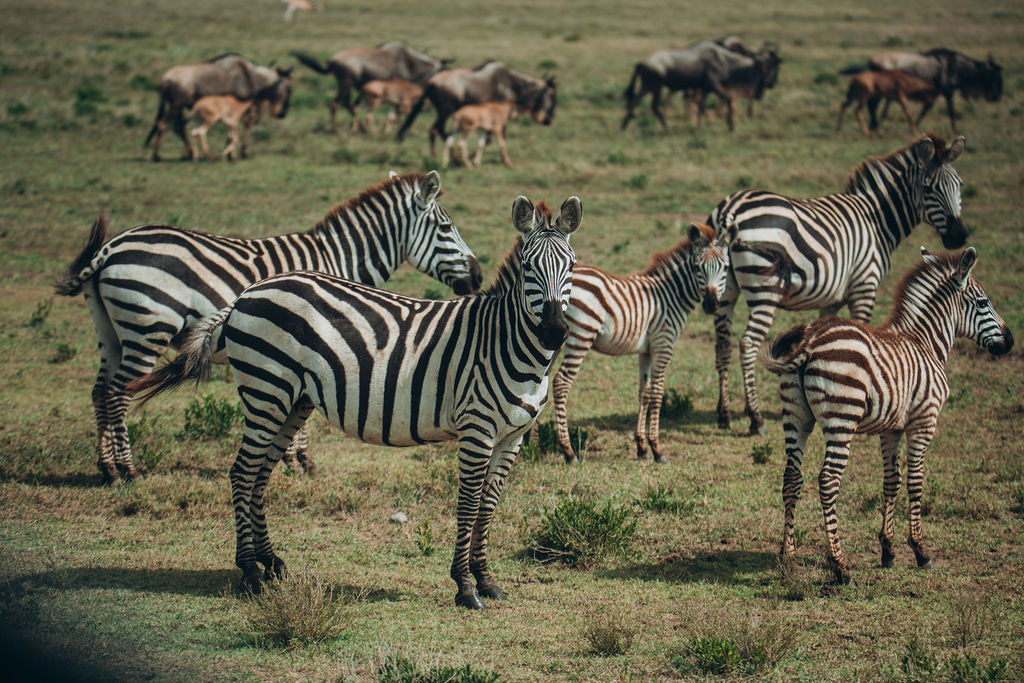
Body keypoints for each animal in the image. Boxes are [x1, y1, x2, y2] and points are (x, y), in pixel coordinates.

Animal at [55, 171, 482, 484]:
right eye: (446, 228)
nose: (478, 276)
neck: (337, 258)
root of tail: (110, 248)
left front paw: (294, 459)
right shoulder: (314, 343)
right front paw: (300, 462)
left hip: (111, 331)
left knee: (100, 391)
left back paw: (106, 468)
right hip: (147, 327)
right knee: (119, 393)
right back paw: (127, 470)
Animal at [127, 195, 582, 609]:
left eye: (572, 268)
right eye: (528, 269)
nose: (554, 332)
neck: (508, 344)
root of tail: (247, 293)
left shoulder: (513, 436)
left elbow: (488, 507)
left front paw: (487, 581)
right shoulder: (477, 429)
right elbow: (469, 504)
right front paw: (465, 586)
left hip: (292, 401)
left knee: (259, 475)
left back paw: (272, 563)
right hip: (265, 390)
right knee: (242, 473)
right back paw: (251, 574)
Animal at [551, 222, 733, 464]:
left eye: (724, 267)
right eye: (698, 267)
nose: (711, 305)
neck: (670, 296)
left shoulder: (646, 350)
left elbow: (644, 393)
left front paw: (641, 447)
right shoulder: (663, 344)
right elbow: (657, 394)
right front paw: (657, 449)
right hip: (581, 335)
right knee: (560, 382)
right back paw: (568, 451)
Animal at [709, 132, 969, 436]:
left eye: (959, 185)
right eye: (928, 189)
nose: (959, 236)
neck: (877, 221)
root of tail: (730, 209)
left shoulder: (830, 300)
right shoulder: (865, 285)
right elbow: (864, 330)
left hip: (725, 288)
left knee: (722, 344)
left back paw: (724, 414)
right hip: (764, 289)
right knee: (747, 344)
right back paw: (756, 418)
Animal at [761, 247, 1013, 584]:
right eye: (984, 303)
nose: (1011, 341)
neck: (926, 343)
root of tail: (809, 340)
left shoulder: (891, 427)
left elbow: (891, 481)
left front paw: (888, 551)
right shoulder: (924, 421)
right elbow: (916, 482)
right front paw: (920, 551)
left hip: (795, 416)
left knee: (791, 477)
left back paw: (786, 556)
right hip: (842, 419)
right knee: (828, 480)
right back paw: (840, 565)